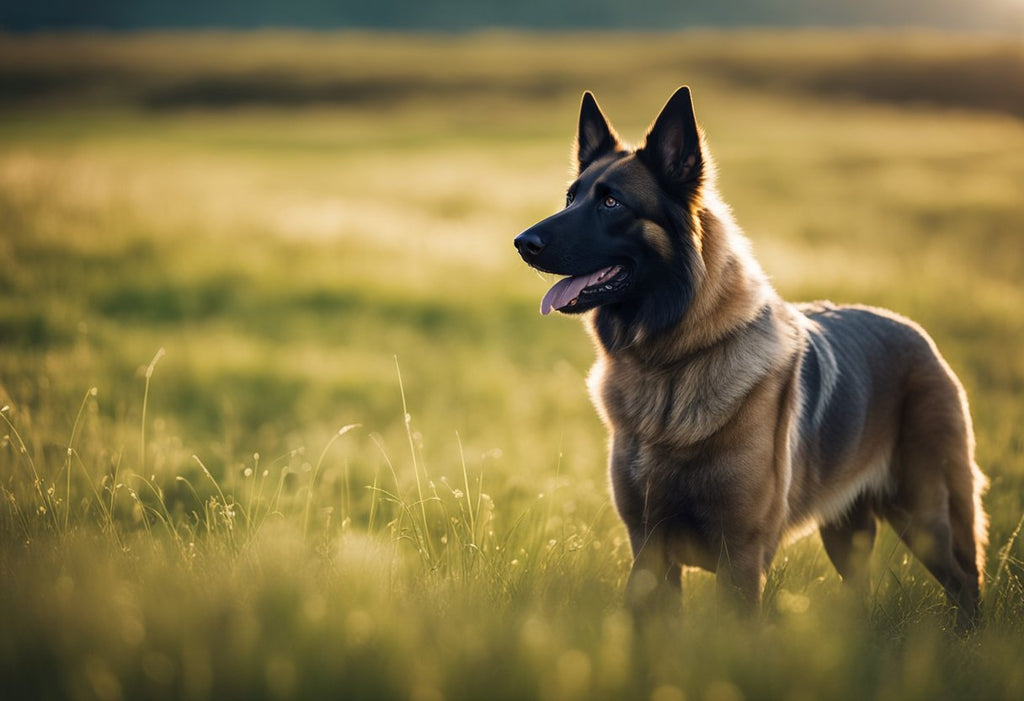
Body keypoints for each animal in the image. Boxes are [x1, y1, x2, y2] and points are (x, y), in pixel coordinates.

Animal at [516, 87, 987, 630]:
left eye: (611, 202)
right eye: (571, 198)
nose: (522, 243)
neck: (670, 364)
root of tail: (916, 333)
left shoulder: (739, 557)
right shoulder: (649, 549)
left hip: (925, 516)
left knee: (964, 581)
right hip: (846, 532)